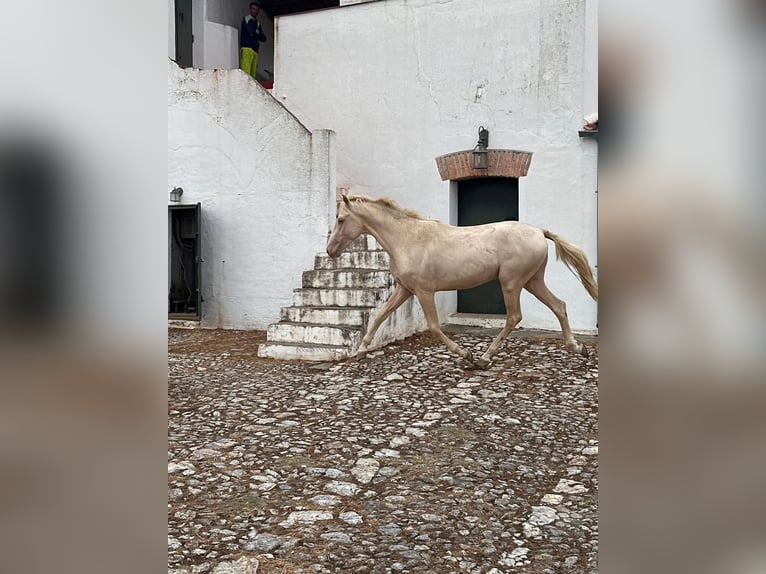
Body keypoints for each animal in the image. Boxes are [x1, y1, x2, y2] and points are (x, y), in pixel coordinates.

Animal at [326, 194, 598, 367]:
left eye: (340, 219)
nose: (330, 251)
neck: (407, 238)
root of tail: (540, 232)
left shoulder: (424, 291)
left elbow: (434, 326)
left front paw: (465, 354)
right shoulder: (405, 289)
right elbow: (381, 315)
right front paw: (361, 350)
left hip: (512, 282)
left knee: (514, 316)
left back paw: (483, 358)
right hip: (533, 281)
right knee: (559, 306)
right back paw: (578, 348)